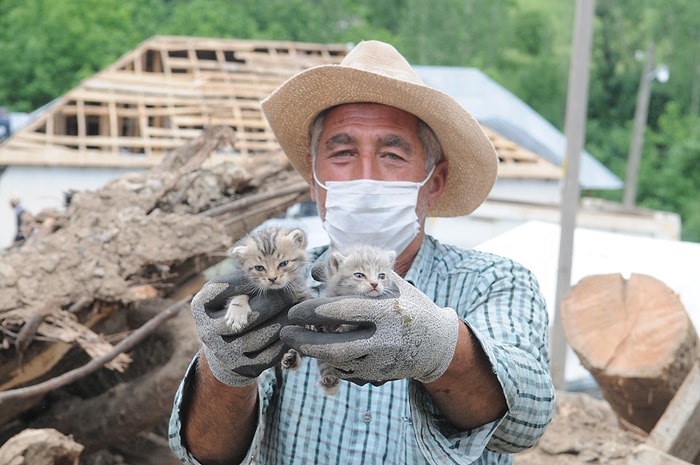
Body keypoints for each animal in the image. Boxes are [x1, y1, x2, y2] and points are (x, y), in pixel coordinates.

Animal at [226, 225, 310, 370]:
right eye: (259, 268)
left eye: (283, 263)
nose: (272, 278)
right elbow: (238, 293)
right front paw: (237, 313)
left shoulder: (299, 287)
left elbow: (304, 302)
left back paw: (291, 359)